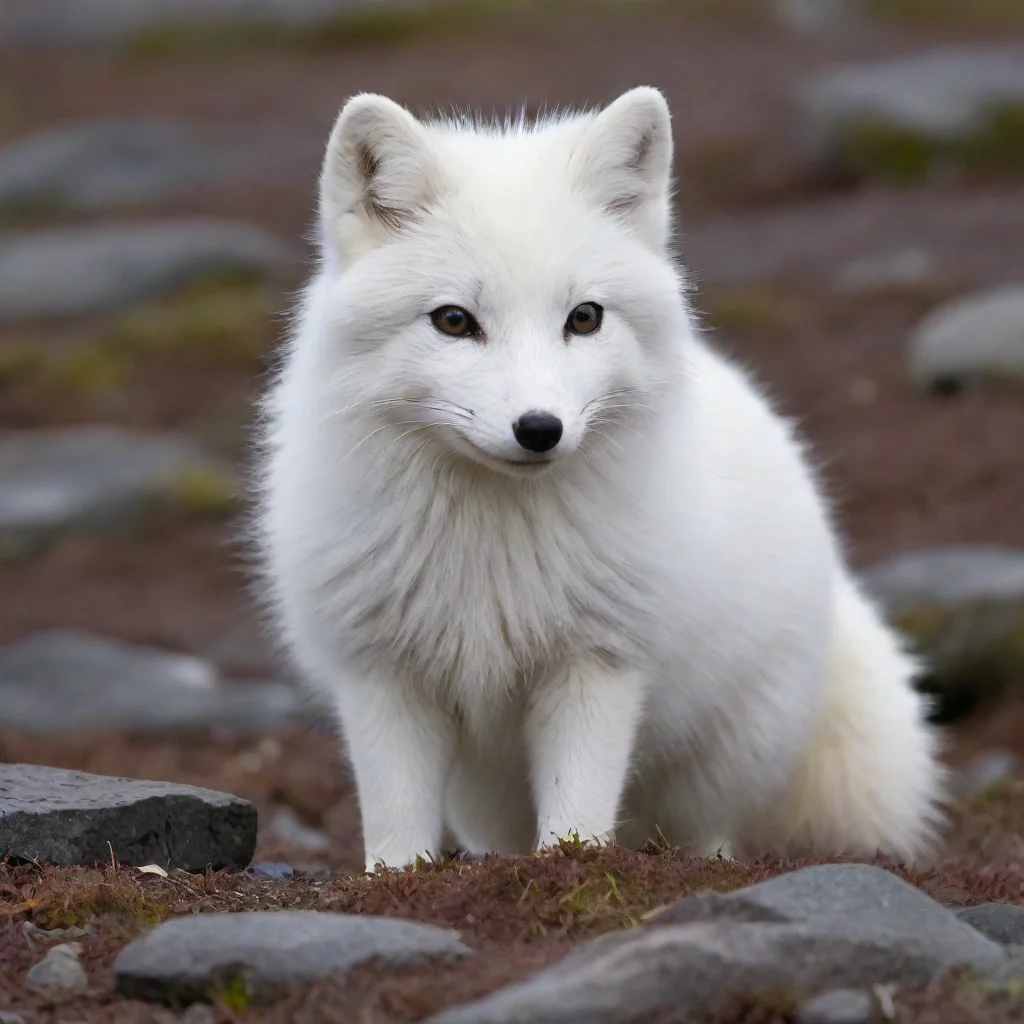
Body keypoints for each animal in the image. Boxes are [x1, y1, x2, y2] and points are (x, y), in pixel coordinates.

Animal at [254, 86, 945, 873]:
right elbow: (397, 826)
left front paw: (572, 868)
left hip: (714, 768)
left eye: (584, 317)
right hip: (485, 792)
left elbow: (577, 807)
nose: (539, 428)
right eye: (454, 321)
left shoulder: (597, 663)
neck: (490, 551)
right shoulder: (381, 674)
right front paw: (395, 882)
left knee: (708, 835)